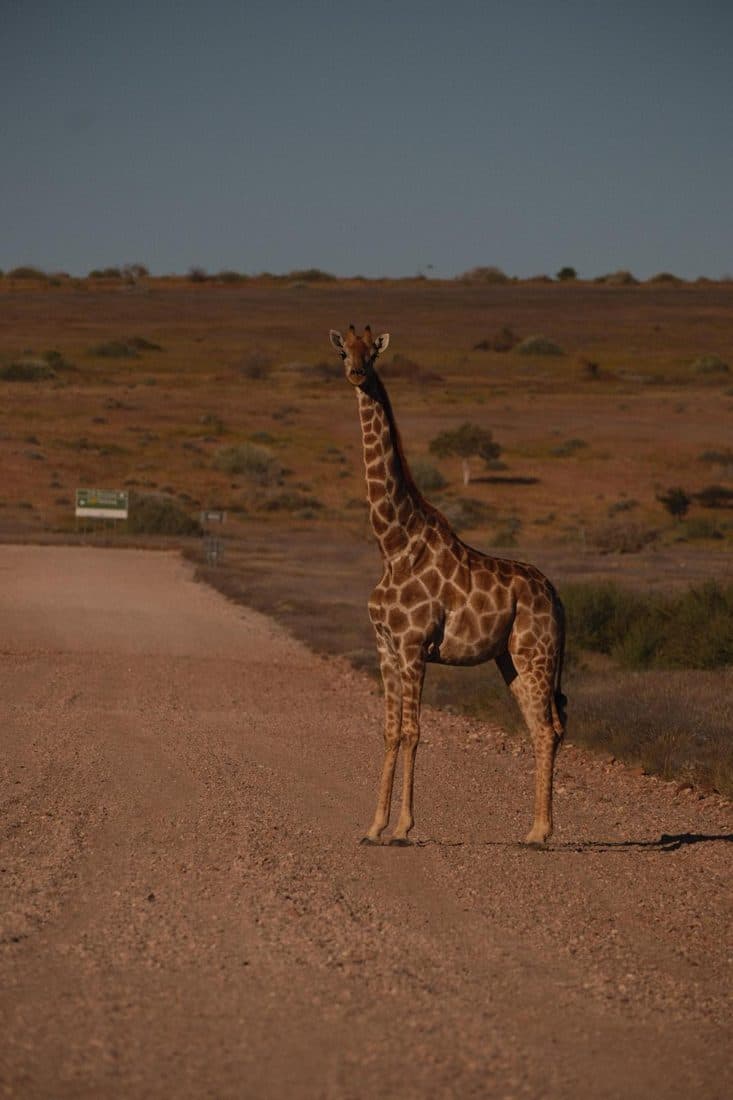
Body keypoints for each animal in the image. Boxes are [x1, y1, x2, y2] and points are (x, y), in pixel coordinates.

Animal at [329, 324, 566, 846]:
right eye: (343, 350)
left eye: (372, 352)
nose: (356, 373)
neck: (392, 544)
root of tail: (556, 596)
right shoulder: (385, 646)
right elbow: (390, 731)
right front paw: (373, 826)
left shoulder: (415, 645)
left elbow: (414, 732)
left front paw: (402, 827)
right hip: (509, 660)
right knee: (547, 725)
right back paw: (534, 827)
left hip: (534, 652)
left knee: (546, 728)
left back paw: (540, 832)